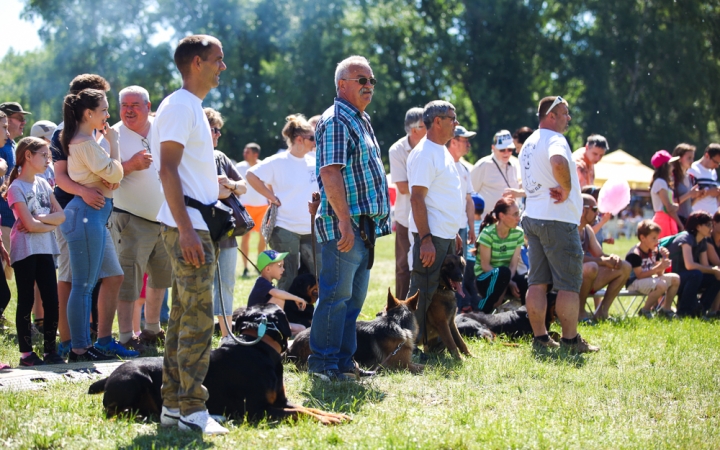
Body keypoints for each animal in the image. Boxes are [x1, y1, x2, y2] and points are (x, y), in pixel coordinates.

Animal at [88, 302, 352, 426]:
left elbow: (308, 408)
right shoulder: (257, 409)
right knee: (112, 412)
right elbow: (298, 412)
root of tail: (110, 375)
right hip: (135, 378)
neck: (259, 345)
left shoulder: (280, 401)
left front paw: (334, 415)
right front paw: (328, 420)